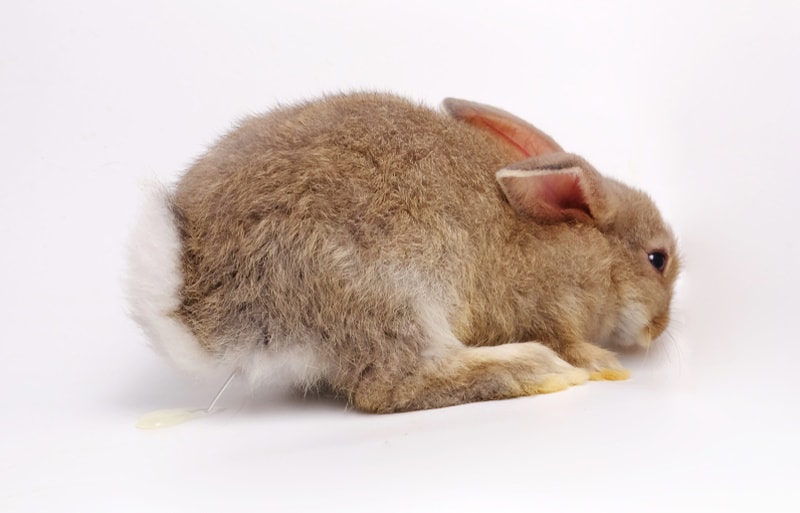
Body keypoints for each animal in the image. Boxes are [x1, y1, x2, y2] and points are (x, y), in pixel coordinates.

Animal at [127, 92, 680, 413]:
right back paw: (537, 369)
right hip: (391, 295)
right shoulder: (546, 307)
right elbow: (566, 338)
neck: (589, 249)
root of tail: (195, 299)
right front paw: (602, 363)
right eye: (659, 259)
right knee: (392, 386)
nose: (658, 330)